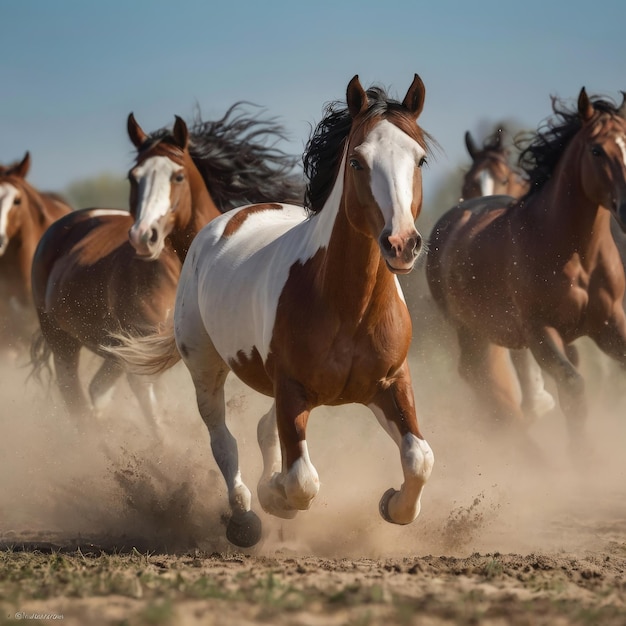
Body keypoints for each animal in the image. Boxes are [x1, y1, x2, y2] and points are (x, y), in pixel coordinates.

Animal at [29, 105, 300, 426]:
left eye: (178, 176)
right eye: (133, 177)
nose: (144, 235)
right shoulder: (143, 353)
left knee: (95, 393)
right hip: (63, 343)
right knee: (77, 401)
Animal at [106, 74, 434, 544]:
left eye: (420, 159)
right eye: (357, 161)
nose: (402, 244)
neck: (348, 306)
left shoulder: (389, 383)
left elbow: (419, 457)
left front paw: (393, 504)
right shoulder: (292, 389)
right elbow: (301, 480)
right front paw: (275, 496)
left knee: (263, 430)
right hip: (205, 368)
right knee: (223, 441)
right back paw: (244, 517)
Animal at [426, 88, 624, 444]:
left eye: (506, 177)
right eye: (597, 150)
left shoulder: (611, 323)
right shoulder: (538, 330)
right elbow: (571, 385)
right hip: (474, 334)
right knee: (484, 385)